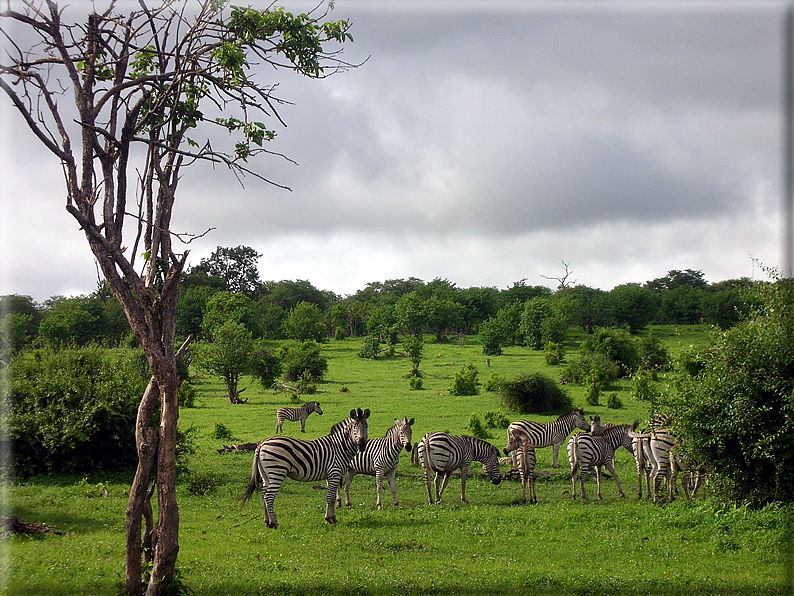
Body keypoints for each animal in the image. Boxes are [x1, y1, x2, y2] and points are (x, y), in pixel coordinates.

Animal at [240, 408, 370, 528]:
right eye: (354, 428)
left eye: (366, 427)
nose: (362, 445)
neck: (340, 447)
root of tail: (262, 444)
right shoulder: (334, 472)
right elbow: (330, 497)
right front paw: (330, 519)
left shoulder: (330, 475)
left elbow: (332, 497)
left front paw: (332, 517)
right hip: (277, 472)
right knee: (269, 496)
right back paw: (274, 523)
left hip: (266, 475)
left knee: (263, 495)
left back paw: (267, 521)